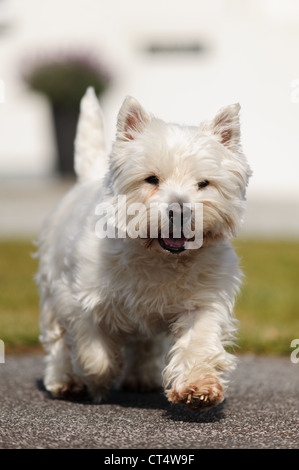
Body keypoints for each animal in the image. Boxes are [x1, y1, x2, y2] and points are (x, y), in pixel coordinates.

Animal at [38, 87, 253, 408]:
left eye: (204, 183)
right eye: (151, 179)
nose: (180, 211)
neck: (159, 257)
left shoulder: (203, 301)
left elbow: (197, 343)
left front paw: (198, 387)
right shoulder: (80, 297)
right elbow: (93, 352)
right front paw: (99, 378)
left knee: (145, 343)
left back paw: (141, 379)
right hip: (51, 286)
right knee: (58, 340)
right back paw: (66, 380)